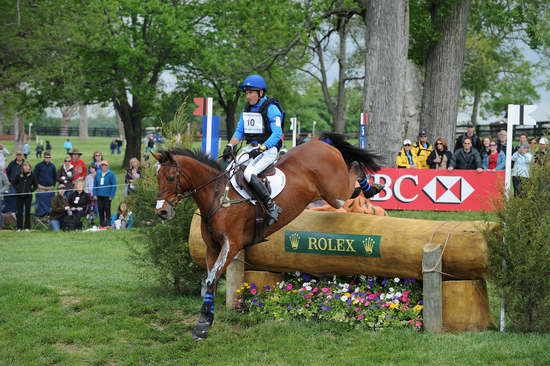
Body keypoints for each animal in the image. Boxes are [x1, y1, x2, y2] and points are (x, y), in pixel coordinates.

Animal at [153, 132, 382, 340]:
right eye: (157, 178)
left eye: (171, 178)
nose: (162, 212)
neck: (218, 197)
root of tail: (320, 143)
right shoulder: (212, 248)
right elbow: (210, 281)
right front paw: (205, 321)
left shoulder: (231, 245)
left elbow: (210, 280)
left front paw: (202, 326)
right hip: (334, 196)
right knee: (352, 183)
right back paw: (366, 189)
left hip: (335, 194)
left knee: (354, 168)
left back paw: (372, 187)